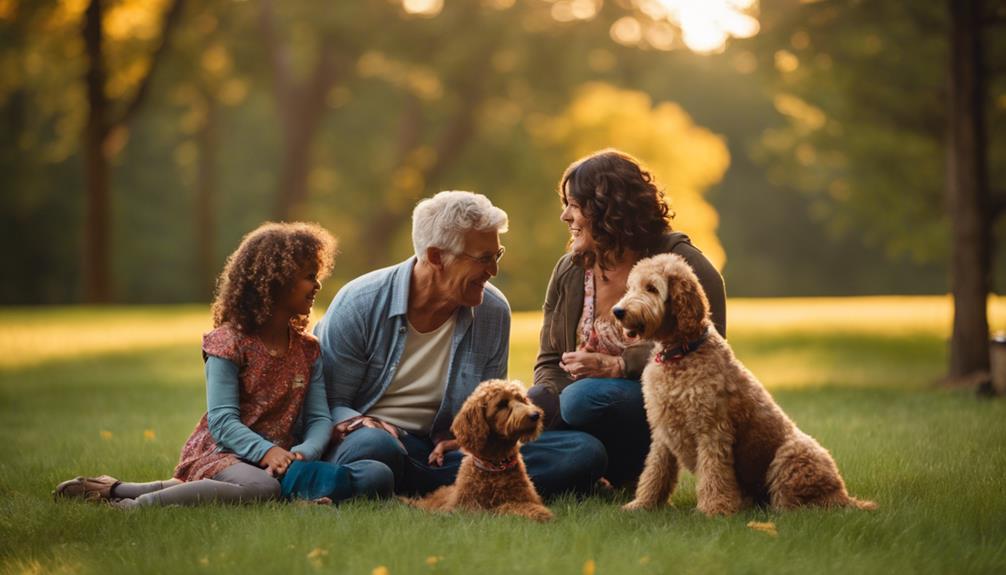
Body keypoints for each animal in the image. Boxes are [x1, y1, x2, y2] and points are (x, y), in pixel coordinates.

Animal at [404, 379, 555, 522]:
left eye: (521, 399)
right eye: (502, 404)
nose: (535, 415)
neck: (496, 465)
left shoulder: (525, 497)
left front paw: (539, 512)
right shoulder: (468, 507)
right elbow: (503, 507)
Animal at [607, 253, 877, 514]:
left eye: (652, 288)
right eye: (631, 287)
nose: (617, 311)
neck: (681, 353)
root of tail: (842, 494)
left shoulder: (712, 430)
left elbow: (713, 473)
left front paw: (714, 510)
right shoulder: (662, 431)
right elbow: (655, 471)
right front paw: (643, 505)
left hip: (790, 456)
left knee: (796, 504)